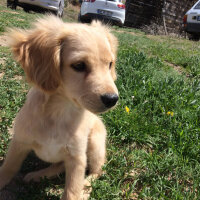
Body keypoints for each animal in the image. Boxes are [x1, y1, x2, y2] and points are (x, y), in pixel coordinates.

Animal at [0, 16, 118, 200]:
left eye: (110, 64)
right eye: (79, 65)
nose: (112, 99)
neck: (60, 111)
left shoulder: (77, 158)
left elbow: (72, 191)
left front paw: (79, 190)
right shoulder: (19, 142)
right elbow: (8, 168)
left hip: (95, 144)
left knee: (97, 171)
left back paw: (85, 187)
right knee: (59, 166)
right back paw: (38, 175)